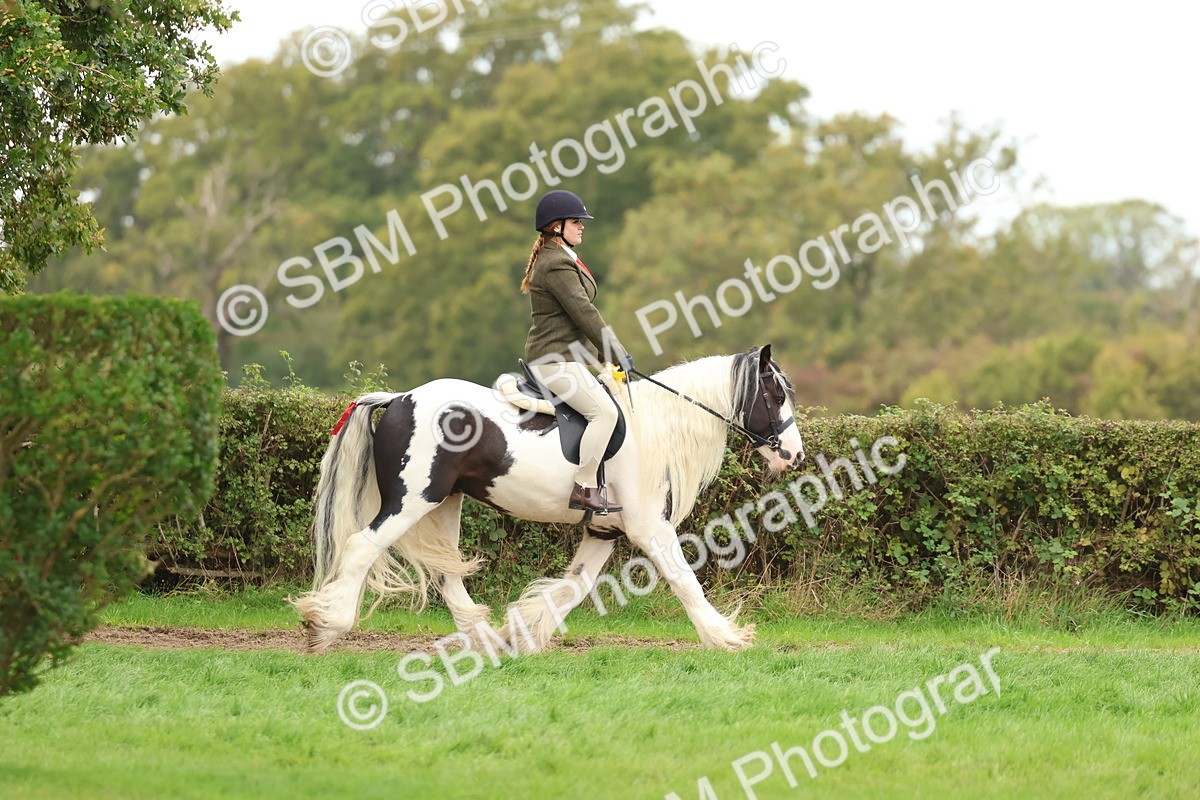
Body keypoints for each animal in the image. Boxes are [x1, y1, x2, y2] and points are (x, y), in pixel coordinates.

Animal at [292, 344, 805, 653]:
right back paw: (326, 624)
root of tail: (398, 398)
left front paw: (522, 630)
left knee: (445, 572)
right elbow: (685, 581)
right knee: (363, 547)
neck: (656, 428)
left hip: (445, 503)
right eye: (776, 395)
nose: (795, 456)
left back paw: (485, 637)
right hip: (412, 500)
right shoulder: (648, 528)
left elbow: (574, 585)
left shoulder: (604, 529)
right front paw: (726, 636)